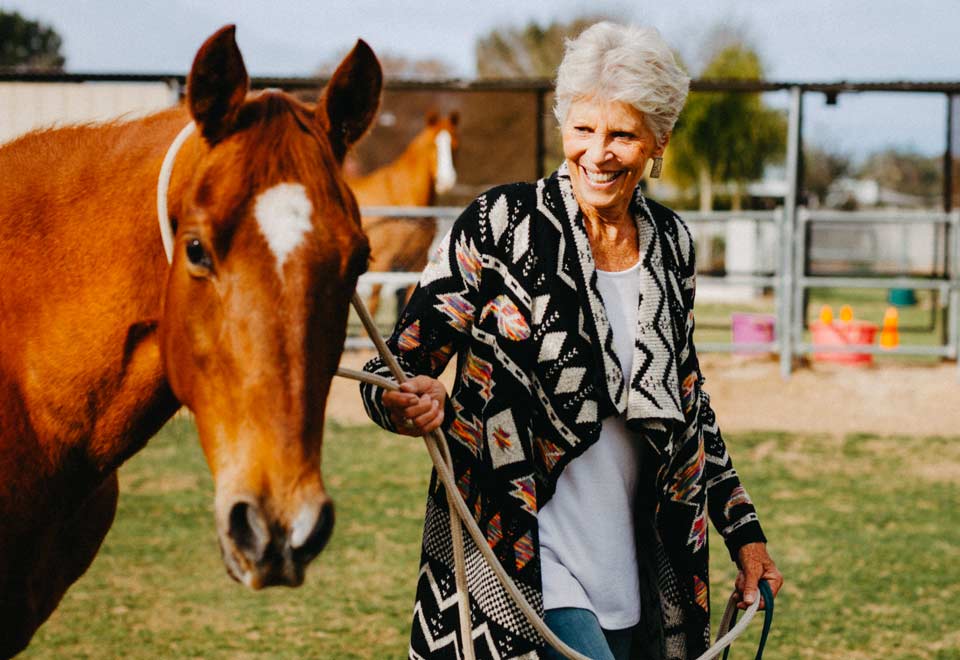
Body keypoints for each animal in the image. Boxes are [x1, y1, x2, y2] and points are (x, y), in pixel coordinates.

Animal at [347, 111, 459, 320]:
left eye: (456, 146)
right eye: (432, 145)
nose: (446, 181)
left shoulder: (416, 263)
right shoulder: (382, 262)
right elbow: (373, 306)